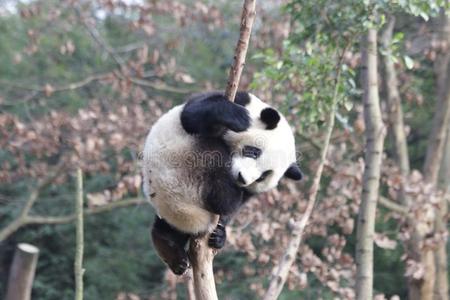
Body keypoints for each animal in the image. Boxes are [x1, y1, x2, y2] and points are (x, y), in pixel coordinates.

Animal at [142, 91, 300, 274]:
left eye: (263, 176)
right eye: (254, 151)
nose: (242, 178)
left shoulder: (249, 190)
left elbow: (236, 207)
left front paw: (220, 235)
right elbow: (192, 116)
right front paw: (239, 117)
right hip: (186, 157)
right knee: (215, 156)